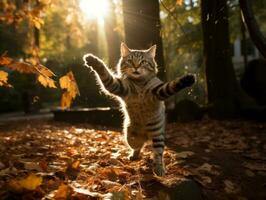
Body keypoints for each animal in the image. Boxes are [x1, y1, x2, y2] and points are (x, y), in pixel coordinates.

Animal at [83, 43, 195, 176]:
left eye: (143, 62)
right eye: (130, 61)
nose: (136, 66)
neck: (140, 84)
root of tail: (146, 136)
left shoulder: (159, 91)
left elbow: (172, 85)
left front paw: (187, 79)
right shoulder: (118, 86)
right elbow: (104, 72)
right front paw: (92, 60)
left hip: (157, 134)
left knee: (157, 153)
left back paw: (159, 168)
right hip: (129, 133)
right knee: (136, 145)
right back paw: (135, 154)